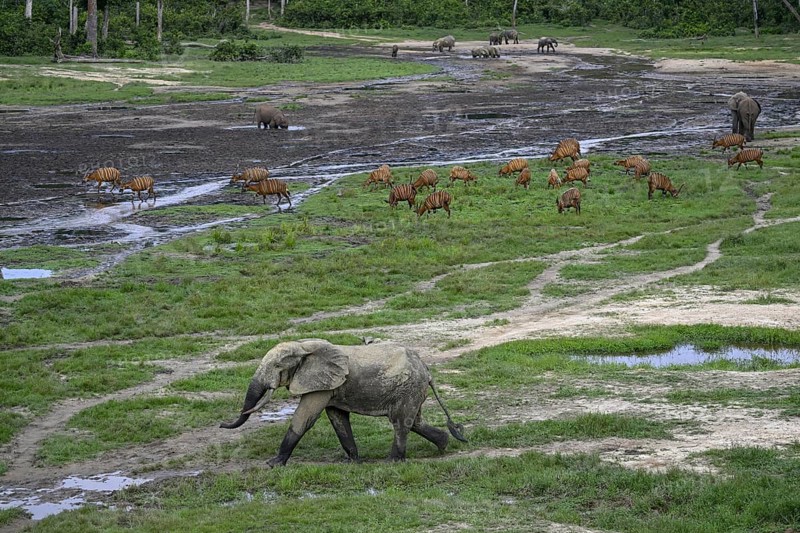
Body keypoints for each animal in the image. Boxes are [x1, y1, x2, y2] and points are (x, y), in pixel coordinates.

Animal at [220, 339, 468, 466]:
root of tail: (427, 370)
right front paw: (352, 462)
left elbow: (304, 417)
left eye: (278, 366)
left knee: (400, 422)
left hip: (409, 387)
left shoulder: (321, 385)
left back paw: (391, 462)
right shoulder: (330, 385)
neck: (304, 346)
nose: (222, 424)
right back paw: (443, 444)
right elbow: (337, 418)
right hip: (413, 389)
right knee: (414, 421)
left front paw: (274, 464)